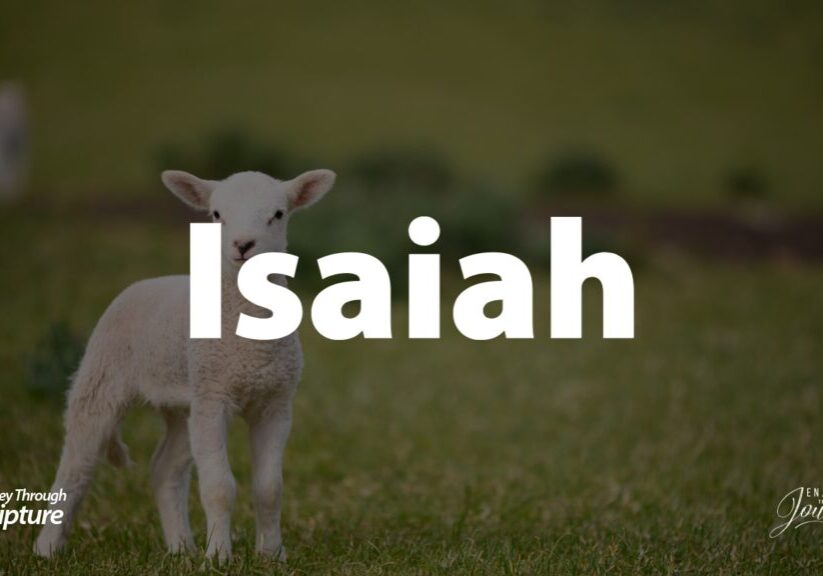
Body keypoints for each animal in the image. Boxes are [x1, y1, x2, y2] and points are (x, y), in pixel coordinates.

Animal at [35, 169, 336, 561]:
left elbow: (270, 488)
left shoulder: (275, 402)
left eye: (278, 214)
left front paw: (272, 555)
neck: (249, 346)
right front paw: (219, 556)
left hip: (184, 401)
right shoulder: (214, 397)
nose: (242, 245)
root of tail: (152, 281)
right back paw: (47, 548)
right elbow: (219, 486)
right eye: (216, 214)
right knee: (76, 464)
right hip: (104, 373)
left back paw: (180, 547)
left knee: (165, 469)